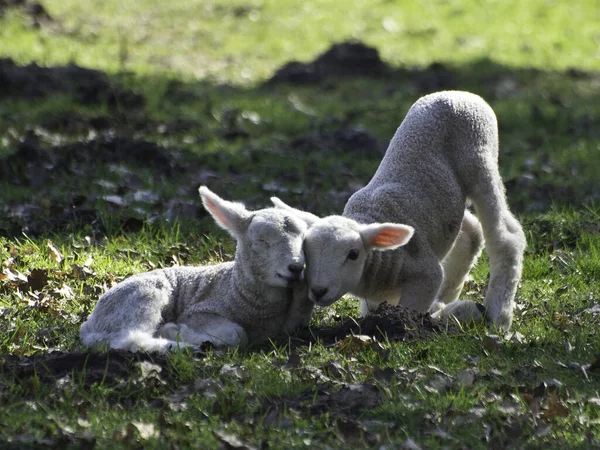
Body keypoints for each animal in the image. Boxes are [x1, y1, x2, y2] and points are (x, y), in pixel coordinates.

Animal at [80, 186, 314, 352]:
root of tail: (90, 326)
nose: (296, 267)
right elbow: (237, 334)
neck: (235, 288)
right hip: (140, 298)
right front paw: (176, 330)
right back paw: (176, 346)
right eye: (261, 241)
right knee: (128, 339)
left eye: (304, 240)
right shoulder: (199, 312)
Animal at [274, 91, 528, 330]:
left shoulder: (424, 274)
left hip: (479, 158)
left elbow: (415, 303)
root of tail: (459, 94)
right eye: (306, 251)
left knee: (506, 236)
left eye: (353, 254)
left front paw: (407, 324)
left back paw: (497, 316)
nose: (318, 290)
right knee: (471, 230)